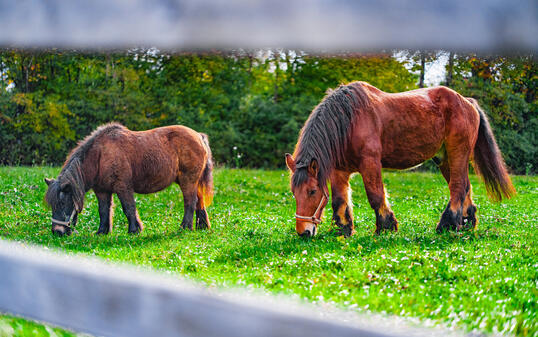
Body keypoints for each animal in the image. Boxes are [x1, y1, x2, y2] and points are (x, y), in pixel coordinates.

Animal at [44, 122, 211, 235]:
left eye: (63, 202)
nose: (57, 231)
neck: (100, 156)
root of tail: (199, 136)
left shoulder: (123, 187)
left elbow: (129, 208)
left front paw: (134, 230)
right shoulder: (102, 191)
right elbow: (104, 211)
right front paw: (102, 232)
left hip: (188, 180)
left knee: (190, 202)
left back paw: (185, 227)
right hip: (193, 182)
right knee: (199, 201)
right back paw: (202, 226)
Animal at [282, 82, 512, 236]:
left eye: (312, 191)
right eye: (294, 192)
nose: (303, 232)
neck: (348, 121)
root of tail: (467, 101)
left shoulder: (370, 163)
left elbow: (375, 195)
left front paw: (385, 227)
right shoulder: (340, 171)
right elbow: (340, 200)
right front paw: (344, 229)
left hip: (458, 152)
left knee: (457, 187)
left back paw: (447, 224)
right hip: (445, 158)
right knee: (464, 186)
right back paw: (466, 222)